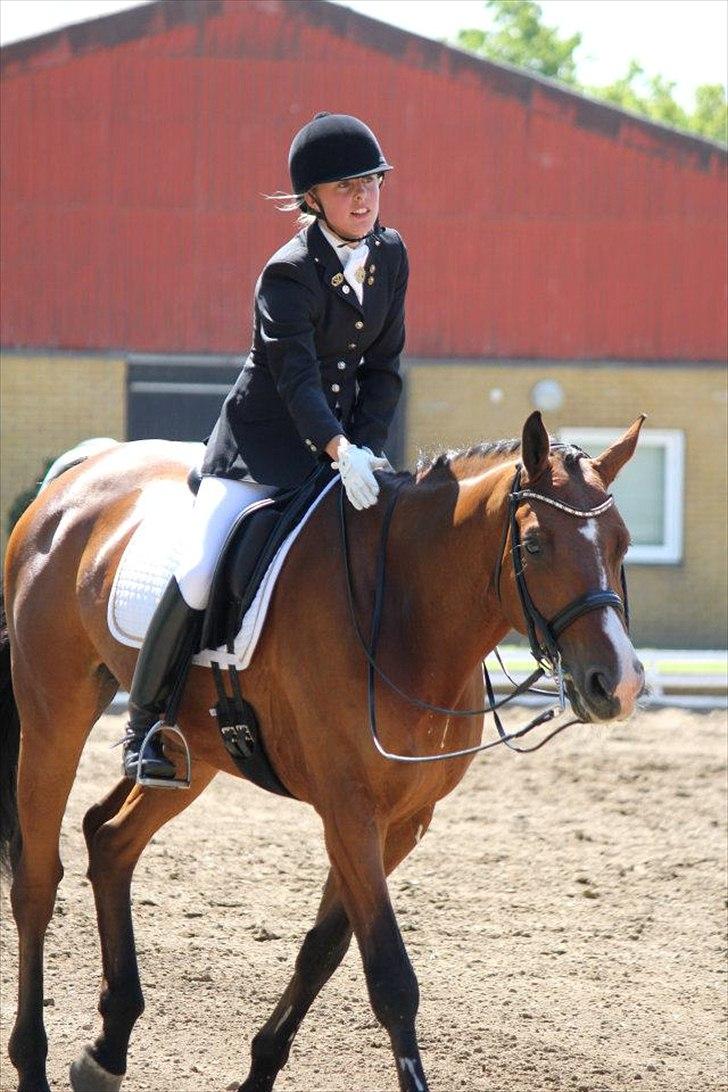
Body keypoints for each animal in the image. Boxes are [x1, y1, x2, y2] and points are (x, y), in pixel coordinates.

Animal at [1, 410, 641, 1092]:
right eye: (537, 545)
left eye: (622, 543)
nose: (619, 684)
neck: (407, 618)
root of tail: (79, 477)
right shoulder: (349, 811)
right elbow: (391, 978)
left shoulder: (403, 821)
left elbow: (324, 949)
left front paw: (259, 1072)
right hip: (54, 713)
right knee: (37, 881)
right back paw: (33, 1061)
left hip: (193, 753)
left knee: (110, 838)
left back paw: (107, 1049)